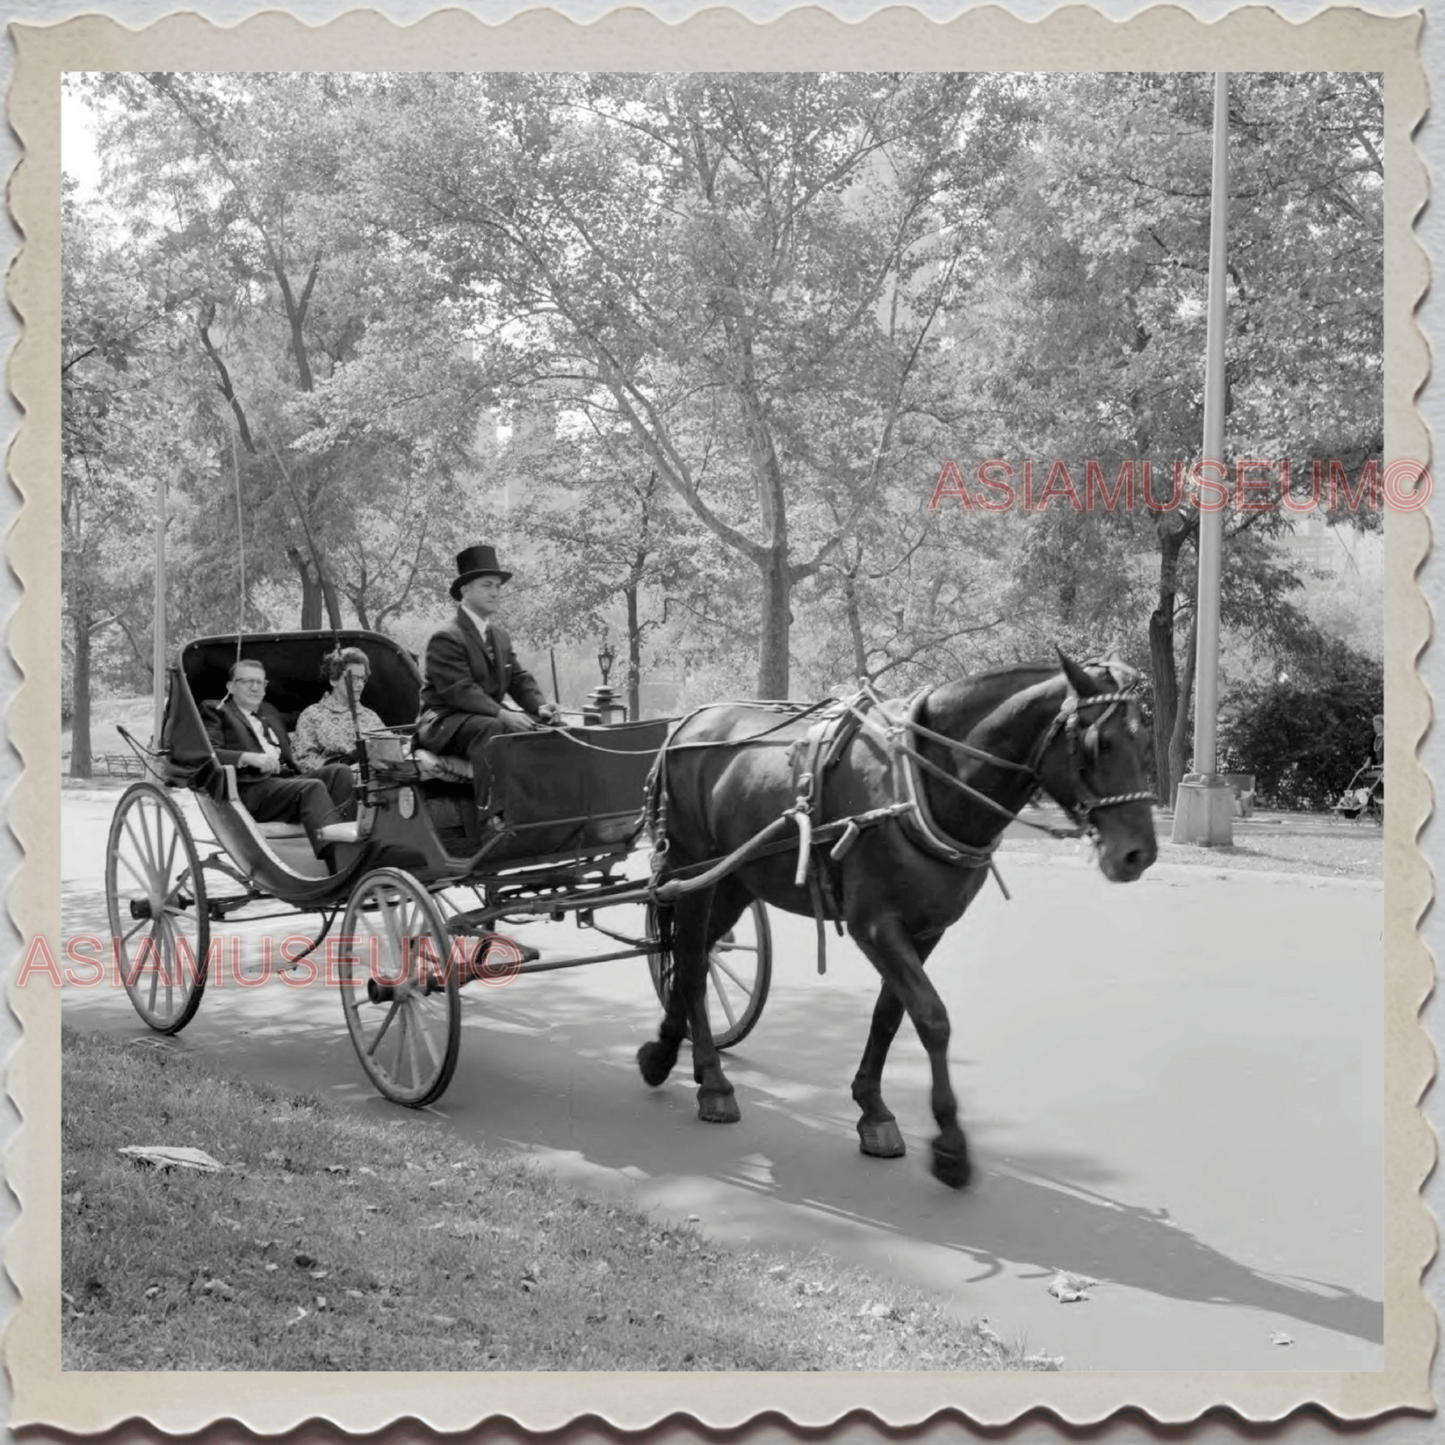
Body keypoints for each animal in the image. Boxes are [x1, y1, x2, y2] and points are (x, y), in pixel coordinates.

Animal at [638, 653, 1156, 1184]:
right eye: (1099, 743)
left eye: (1145, 741)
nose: (1138, 853)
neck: (925, 782)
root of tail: (686, 726)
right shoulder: (876, 926)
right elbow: (932, 1017)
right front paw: (950, 1142)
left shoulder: (925, 930)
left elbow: (890, 1014)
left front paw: (873, 1109)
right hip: (691, 869)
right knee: (691, 966)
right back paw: (712, 1082)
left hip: (735, 880)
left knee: (693, 958)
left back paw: (665, 1052)